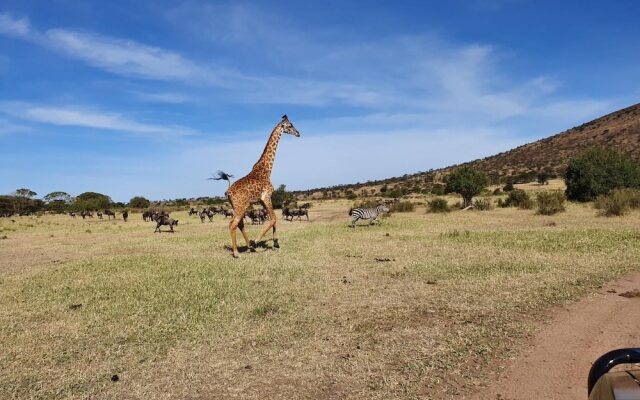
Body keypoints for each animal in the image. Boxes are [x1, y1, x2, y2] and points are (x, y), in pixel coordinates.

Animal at [225, 114, 300, 258]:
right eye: (290, 125)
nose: (298, 133)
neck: (267, 169)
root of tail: (228, 193)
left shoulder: (262, 200)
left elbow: (273, 219)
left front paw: (275, 243)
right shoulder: (267, 196)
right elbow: (273, 218)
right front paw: (256, 241)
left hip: (239, 206)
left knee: (239, 224)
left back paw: (248, 247)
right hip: (241, 206)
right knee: (233, 224)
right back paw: (237, 252)